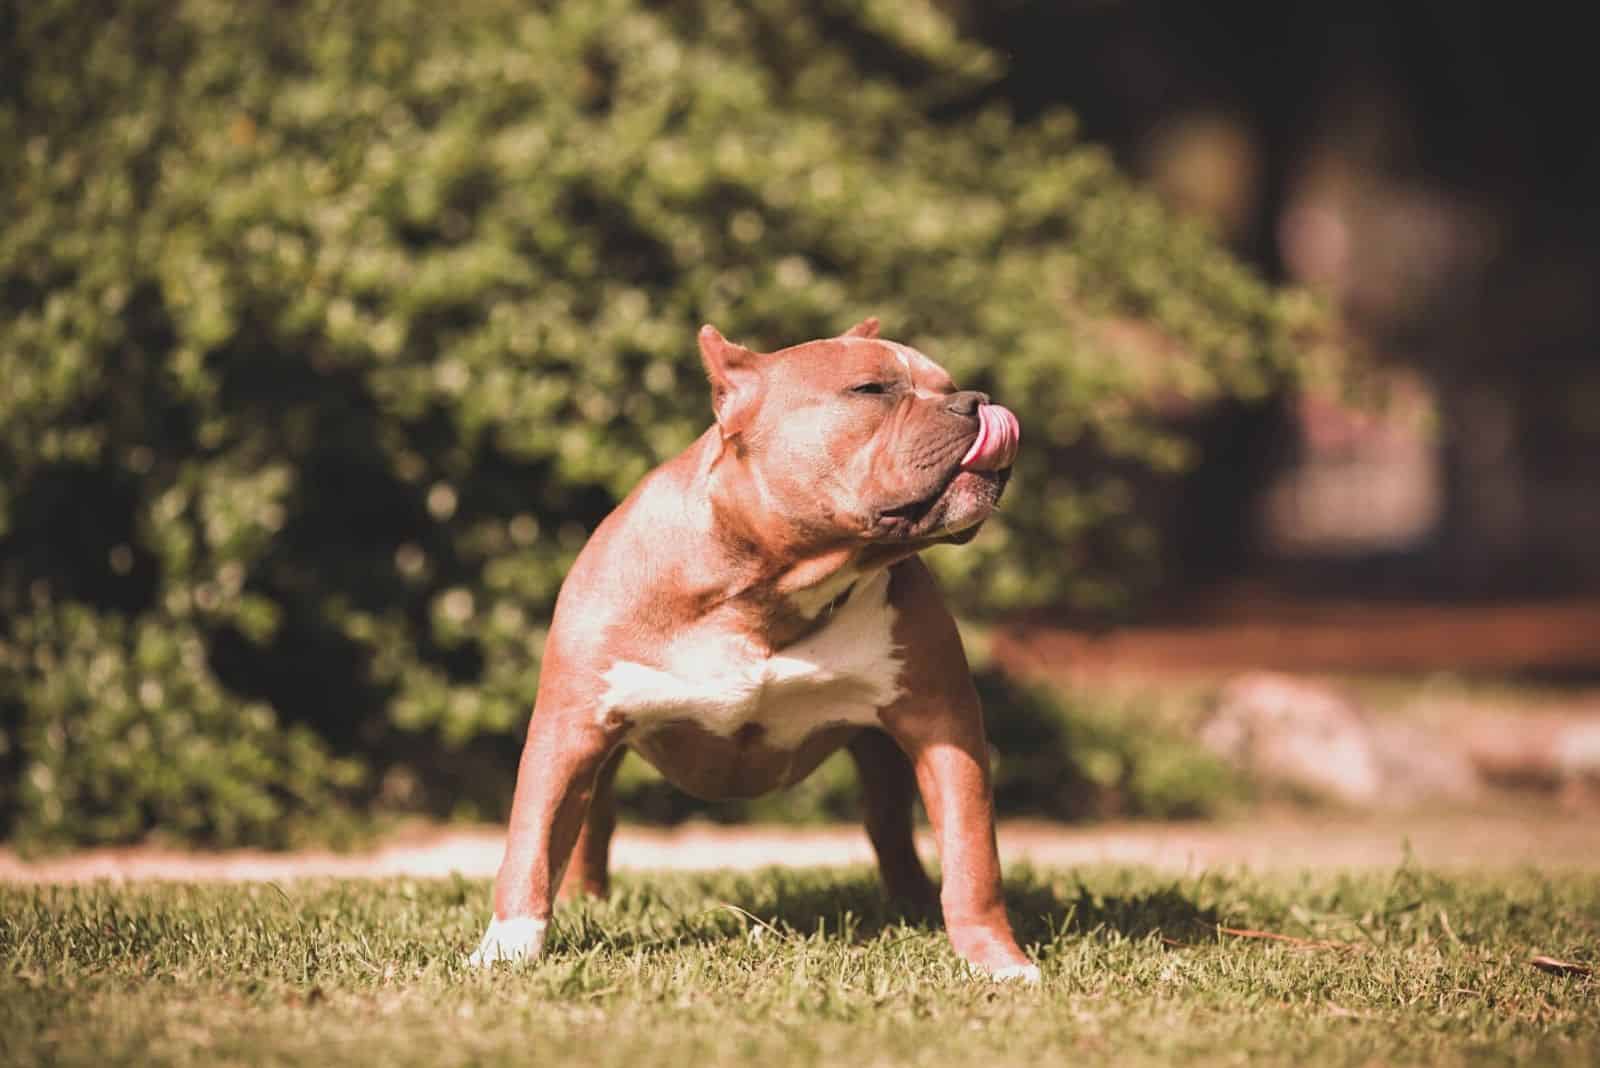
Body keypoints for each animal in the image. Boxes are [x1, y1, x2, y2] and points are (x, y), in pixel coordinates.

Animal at [467, 319, 1036, 984]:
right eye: (871, 389)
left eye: (948, 385)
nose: (975, 401)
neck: (769, 589)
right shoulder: (570, 729)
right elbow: (531, 846)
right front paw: (505, 951)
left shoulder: (944, 725)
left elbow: (973, 858)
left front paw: (997, 961)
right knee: (590, 828)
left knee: (890, 827)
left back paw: (914, 902)